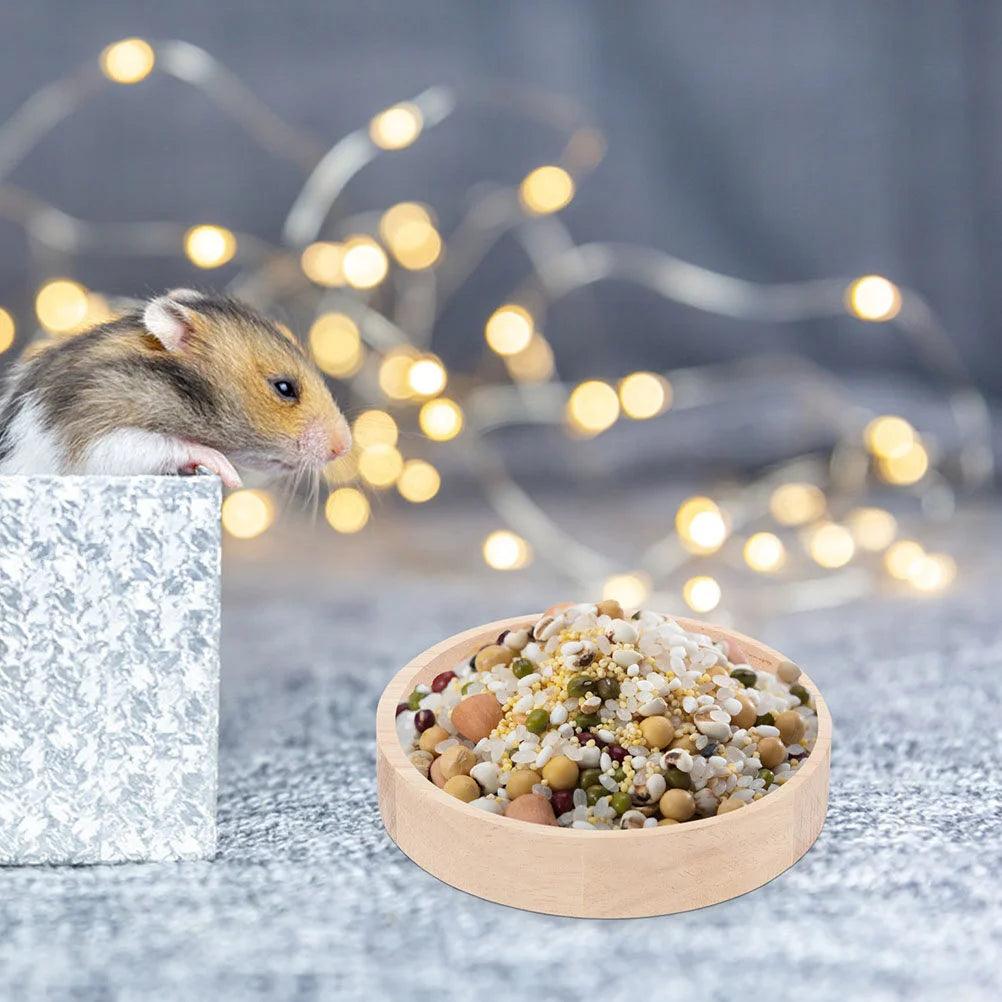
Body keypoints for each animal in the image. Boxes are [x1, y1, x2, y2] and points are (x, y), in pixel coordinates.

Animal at [0, 289, 351, 486]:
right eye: (284, 387)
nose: (345, 448)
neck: (170, 386)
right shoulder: (91, 429)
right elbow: (162, 443)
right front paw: (228, 472)